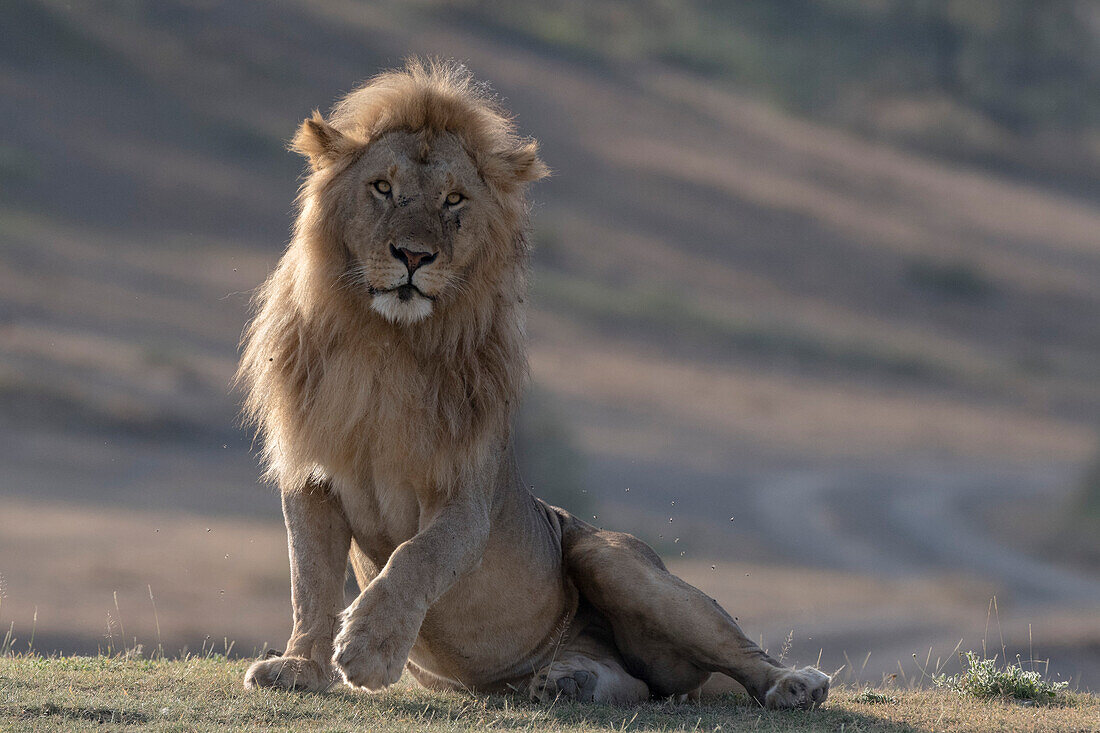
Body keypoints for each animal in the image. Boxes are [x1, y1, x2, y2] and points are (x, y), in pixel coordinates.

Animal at [238, 59, 827, 704]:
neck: (387, 345)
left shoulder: (467, 493)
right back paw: (568, 679)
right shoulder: (311, 475)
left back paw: (796, 684)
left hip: (613, 560)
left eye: (453, 199)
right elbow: (310, 579)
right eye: (382, 188)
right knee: (632, 683)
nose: (413, 256)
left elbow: (419, 557)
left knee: (733, 655)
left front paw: (369, 649)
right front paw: (299, 666)